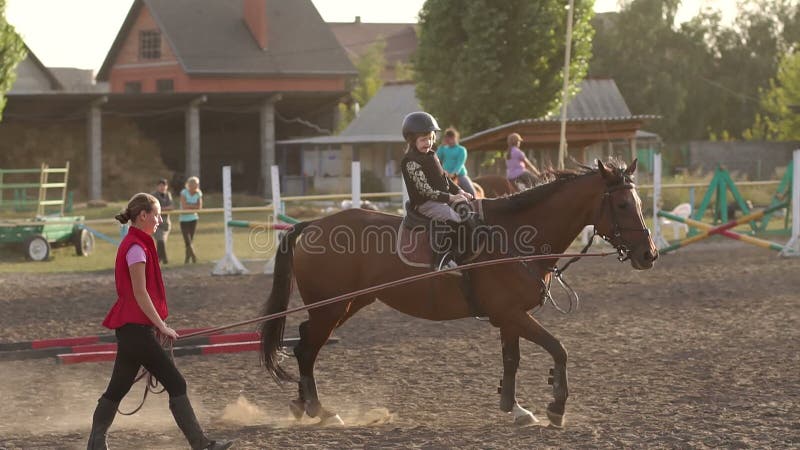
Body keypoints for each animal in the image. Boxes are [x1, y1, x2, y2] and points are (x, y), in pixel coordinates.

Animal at [262, 160, 656, 428]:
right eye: (622, 205)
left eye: (638, 202)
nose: (649, 254)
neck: (514, 237)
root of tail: (314, 224)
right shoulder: (513, 315)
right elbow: (559, 350)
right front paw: (556, 408)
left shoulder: (509, 317)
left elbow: (511, 360)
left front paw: (515, 408)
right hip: (330, 308)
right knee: (306, 349)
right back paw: (319, 410)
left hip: (346, 304)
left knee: (304, 343)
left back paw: (303, 405)